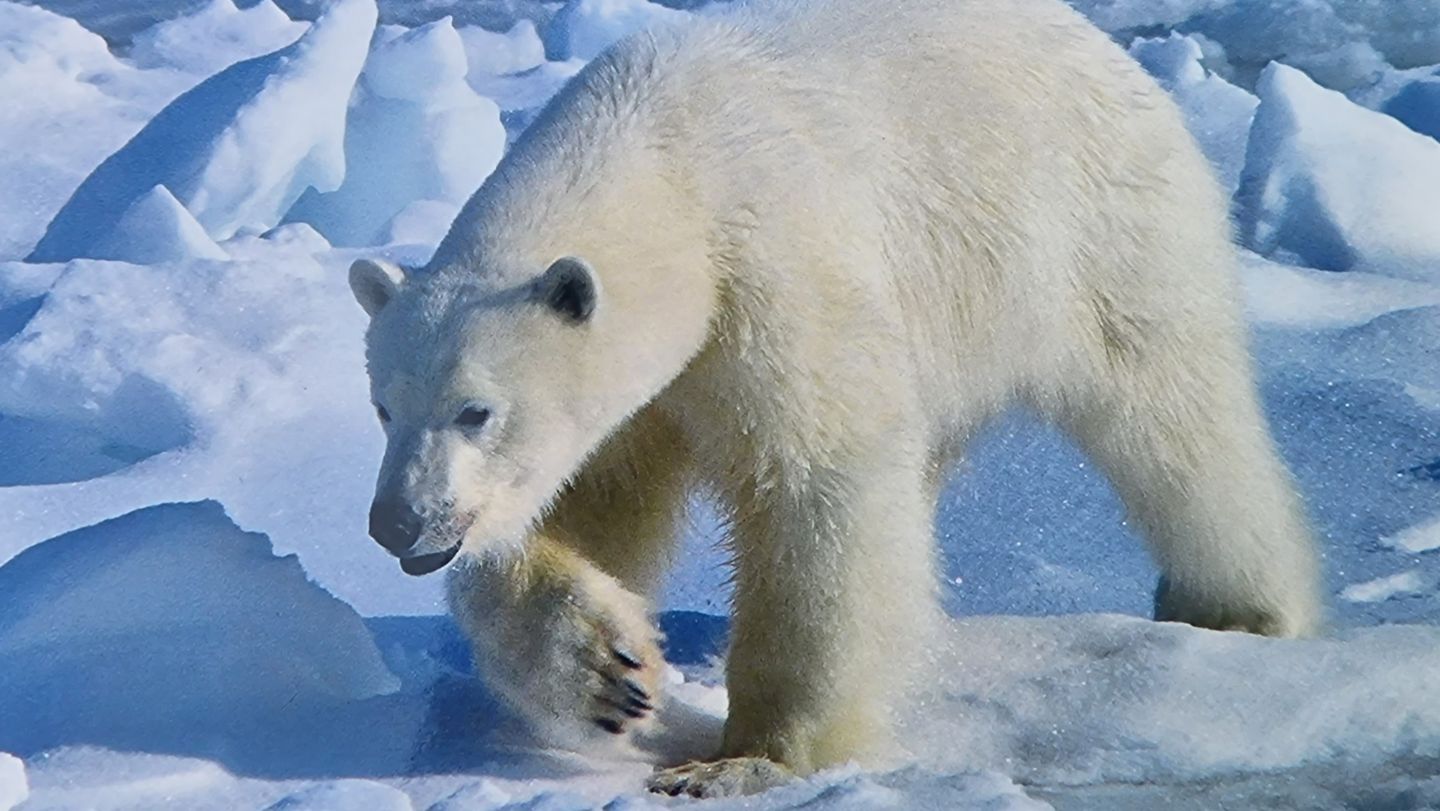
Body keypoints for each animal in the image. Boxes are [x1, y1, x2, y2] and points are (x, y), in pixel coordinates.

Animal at [345, 0, 1319, 800]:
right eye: (384, 407)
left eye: (476, 410)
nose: (400, 524)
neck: (667, 163)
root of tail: (1114, 55)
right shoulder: (648, 388)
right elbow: (590, 502)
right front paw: (609, 675)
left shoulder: (773, 271)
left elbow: (817, 482)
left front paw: (745, 760)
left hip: (1097, 233)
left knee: (1175, 414)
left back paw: (1242, 608)